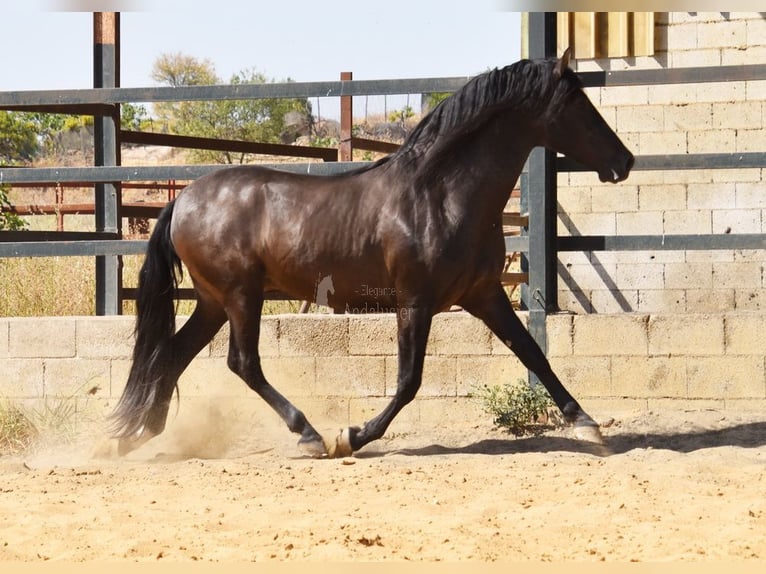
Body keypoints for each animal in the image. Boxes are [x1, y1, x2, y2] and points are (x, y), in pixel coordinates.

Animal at [108, 51, 636, 462]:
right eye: (577, 102)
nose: (625, 160)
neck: (441, 195)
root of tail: (184, 199)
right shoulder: (415, 301)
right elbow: (408, 380)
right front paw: (353, 435)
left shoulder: (484, 294)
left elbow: (533, 353)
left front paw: (587, 423)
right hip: (240, 296)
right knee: (243, 363)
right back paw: (310, 435)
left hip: (214, 301)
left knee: (172, 354)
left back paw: (138, 436)